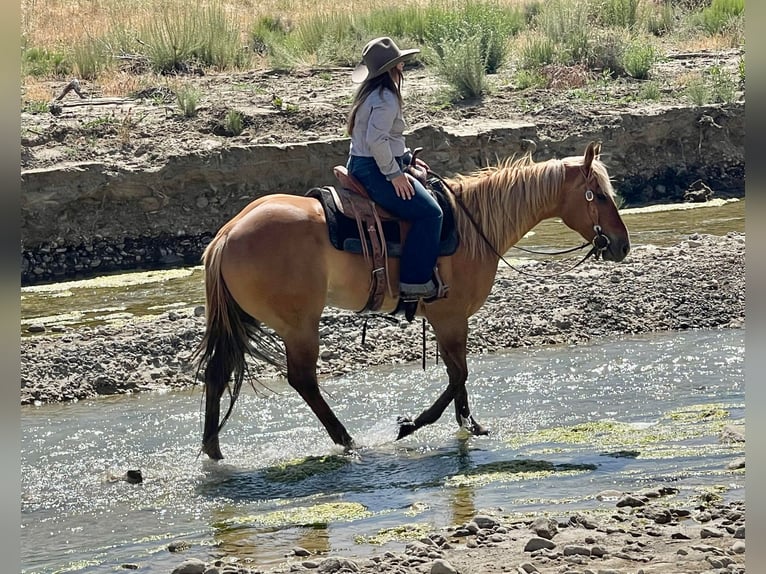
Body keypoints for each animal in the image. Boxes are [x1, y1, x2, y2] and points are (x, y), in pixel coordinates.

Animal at [195, 142, 632, 462]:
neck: (474, 226)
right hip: (299, 325)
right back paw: (347, 440)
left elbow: (458, 377)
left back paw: (213, 451)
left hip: (247, 319)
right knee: (302, 380)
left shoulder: (448, 320)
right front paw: (412, 425)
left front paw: (471, 426)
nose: (621, 245)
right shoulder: (450, 317)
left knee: (217, 373)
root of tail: (227, 234)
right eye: (599, 195)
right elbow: (459, 375)